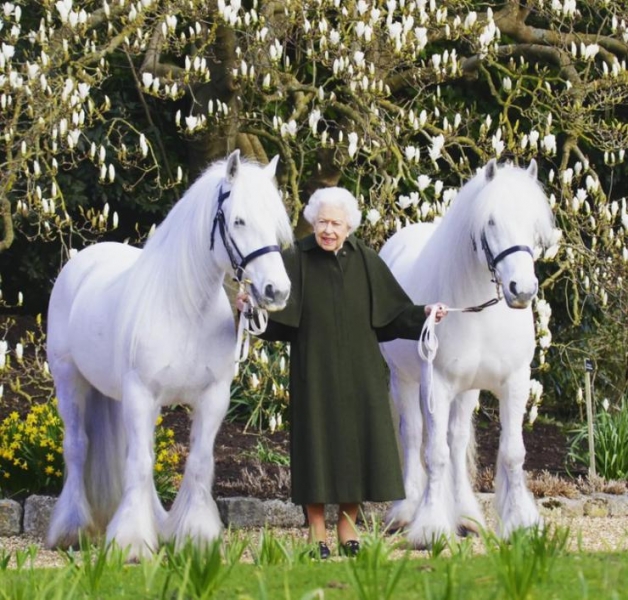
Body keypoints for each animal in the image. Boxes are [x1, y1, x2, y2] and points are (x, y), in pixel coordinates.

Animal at [46, 149, 292, 556]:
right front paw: (131, 542)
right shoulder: (141, 394)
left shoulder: (213, 398)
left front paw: (195, 536)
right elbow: (140, 464)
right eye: (238, 220)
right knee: (78, 447)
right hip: (70, 381)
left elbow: (197, 463)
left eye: (275, 223)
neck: (185, 309)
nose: (277, 291)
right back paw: (72, 529)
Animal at [380, 159, 556, 548]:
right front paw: (430, 527)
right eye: (490, 221)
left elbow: (511, 453)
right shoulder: (437, 384)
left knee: (457, 441)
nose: (522, 290)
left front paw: (521, 524)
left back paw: (465, 516)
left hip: (467, 390)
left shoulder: (515, 383)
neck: (481, 312)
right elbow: (434, 454)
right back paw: (406, 512)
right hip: (405, 380)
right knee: (413, 436)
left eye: (533, 222)